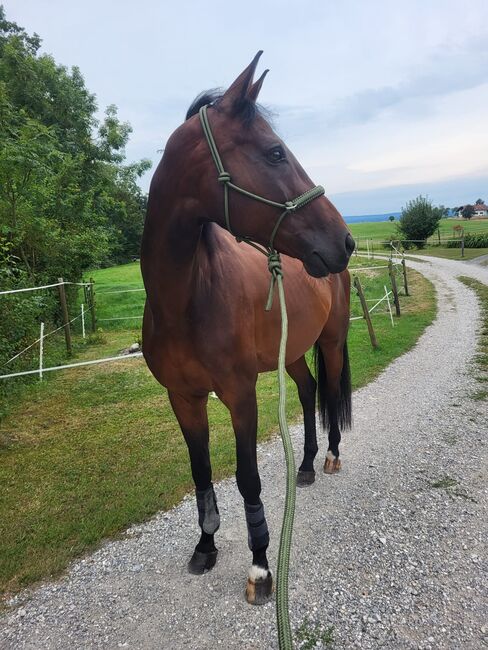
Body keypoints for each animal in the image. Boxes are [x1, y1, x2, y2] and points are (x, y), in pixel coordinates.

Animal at [141, 50, 354, 604]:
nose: (345, 240)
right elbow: (201, 474)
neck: (188, 298)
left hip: (332, 342)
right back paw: (305, 465)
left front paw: (260, 565)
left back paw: (330, 457)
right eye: (275, 152)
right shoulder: (183, 397)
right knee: (308, 391)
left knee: (330, 393)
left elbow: (248, 479)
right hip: (294, 353)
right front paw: (205, 547)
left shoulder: (240, 395)